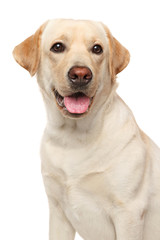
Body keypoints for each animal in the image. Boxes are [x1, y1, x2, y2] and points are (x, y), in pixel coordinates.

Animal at [12, 19, 160, 240]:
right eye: (57, 47)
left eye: (97, 49)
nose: (81, 75)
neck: (74, 138)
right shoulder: (58, 212)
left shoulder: (129, 213)